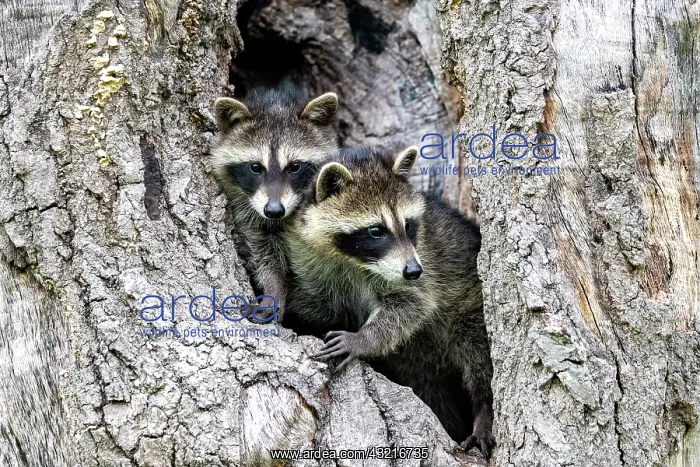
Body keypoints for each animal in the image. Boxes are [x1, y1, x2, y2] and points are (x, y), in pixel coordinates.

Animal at [211, 88, 339, 320]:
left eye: (295, 167)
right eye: (255, 167)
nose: (274, 210)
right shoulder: (249, 213)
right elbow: (264, 252)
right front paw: (274, 288)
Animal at [283, 146, 495, 457]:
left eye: (408, 225)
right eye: (375, 230)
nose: (413, 270)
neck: (352, 261)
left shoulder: (421, 267)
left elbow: (411, 305)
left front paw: (362, 339)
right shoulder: (310, 260)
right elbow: (316, 306)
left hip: (469, 306)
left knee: (478, 357)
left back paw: (484, 408)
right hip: (418, 361)